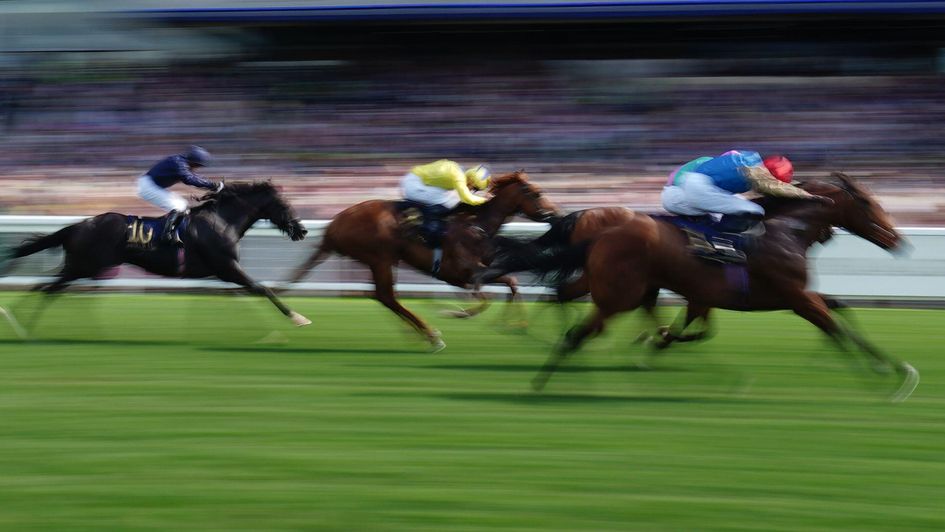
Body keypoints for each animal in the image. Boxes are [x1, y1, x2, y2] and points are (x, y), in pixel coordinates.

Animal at [3, 183, 310, 332]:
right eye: (284, 205)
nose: (303, 230)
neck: (221, 221)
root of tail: (80, 225)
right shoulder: (227, 267)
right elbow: (262, 288)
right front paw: (297, 317)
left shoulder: (221, 274)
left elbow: (247, 294)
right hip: (84, 265)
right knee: (47, 287)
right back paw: (21, 323)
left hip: (82, 266)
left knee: (45, 286)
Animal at [284, 170, 556, 352]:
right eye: (537, 193)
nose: (555, 213)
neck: (476, 225)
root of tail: (334, 225)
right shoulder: (461, 274)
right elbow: (485, 297)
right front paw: (454, 312)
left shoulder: (474, 273)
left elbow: (511, 282)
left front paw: (516, 324)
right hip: (381, 257)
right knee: (386, 296)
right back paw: (431, 335)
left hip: (382, 260)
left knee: (382, 297)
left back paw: (417, 333)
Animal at [524, 175, 916, 404]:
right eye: (868, 203)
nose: (898, 240)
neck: (787, 231)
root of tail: (600, 228)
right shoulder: (795, 297)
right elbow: (835, 328)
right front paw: (887, 375)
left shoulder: (788, 296)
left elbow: (839, 310)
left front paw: (897, 371)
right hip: (621, 292)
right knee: (580, 329)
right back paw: (549, 379)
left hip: (618, 287)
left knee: (567, 302)